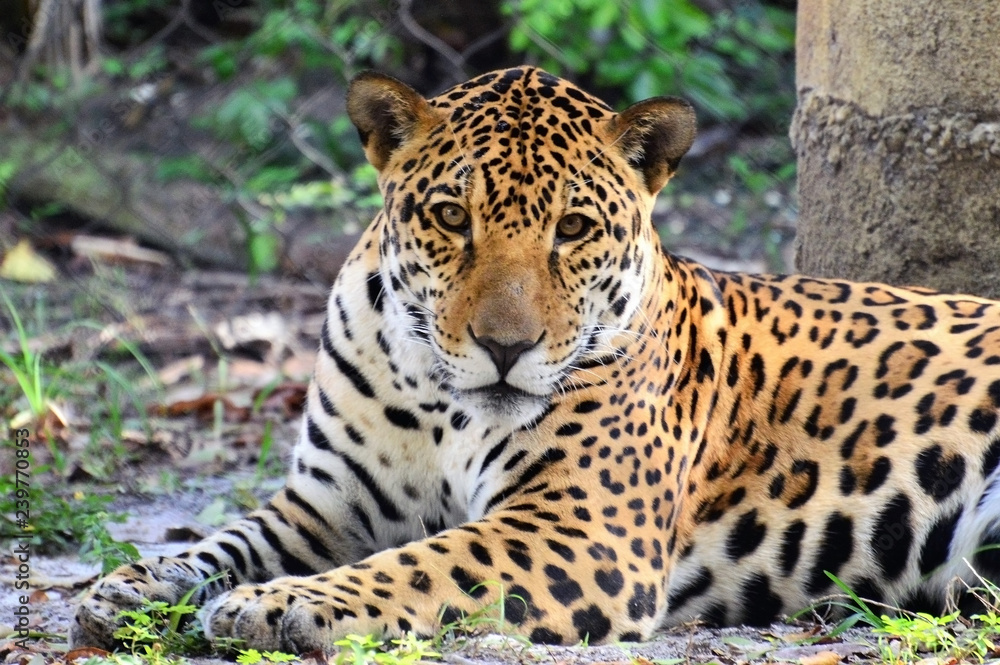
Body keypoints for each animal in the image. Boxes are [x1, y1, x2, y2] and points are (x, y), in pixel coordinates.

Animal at [72, 66, 1000, 652]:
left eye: (576, 229)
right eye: (451, 216)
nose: (505, 347)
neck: (436, 402)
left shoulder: (576, 526)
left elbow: (421, 562)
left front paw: (281, 603)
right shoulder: (326, 506)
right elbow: (224, 540)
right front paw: (127, 587)